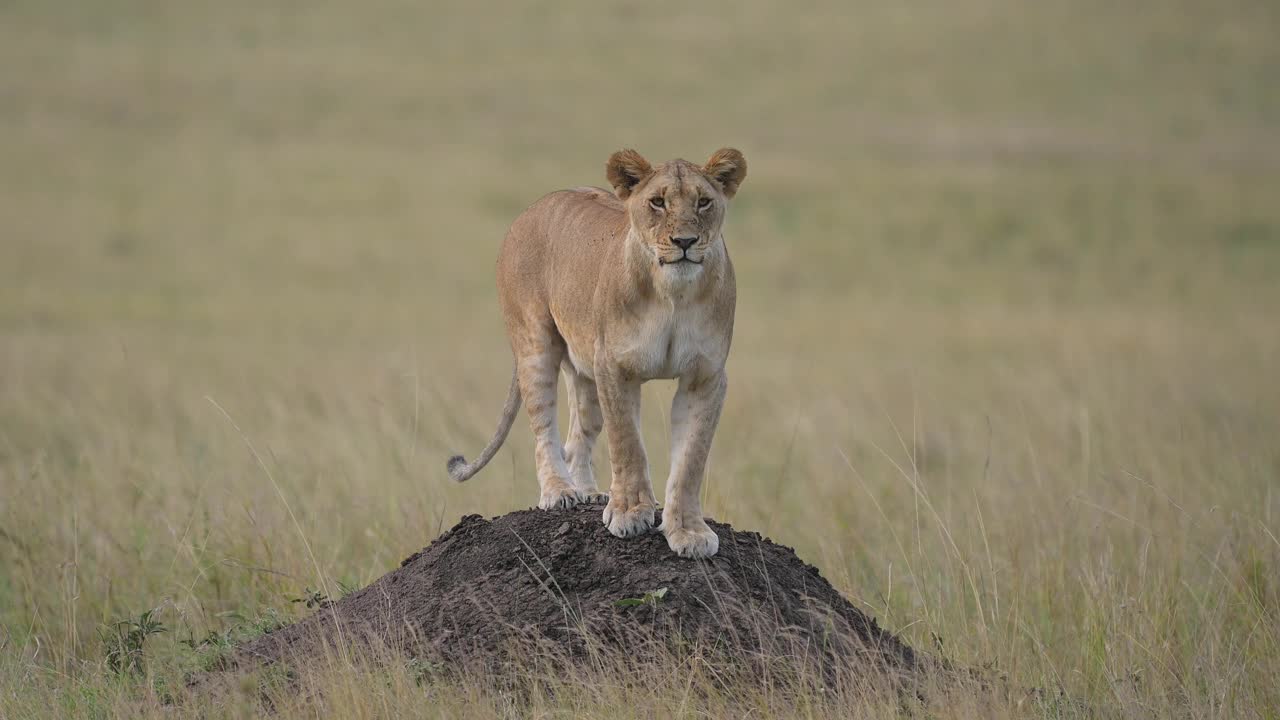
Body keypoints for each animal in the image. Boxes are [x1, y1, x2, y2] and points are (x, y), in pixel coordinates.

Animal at [450, 148, 747, 558]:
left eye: (704, 202)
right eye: (657, 202)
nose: (685, 241)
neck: (673, 294)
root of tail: (534, 206)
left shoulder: (705, 376)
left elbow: (690, 459)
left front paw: (688, 532)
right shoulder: (616, 366)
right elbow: (627, 444)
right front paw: (630, 514)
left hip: (584, 369)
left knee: (578, 435)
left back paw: (589, 492)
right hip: (535, 345)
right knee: (544, 428)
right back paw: (560, 492)